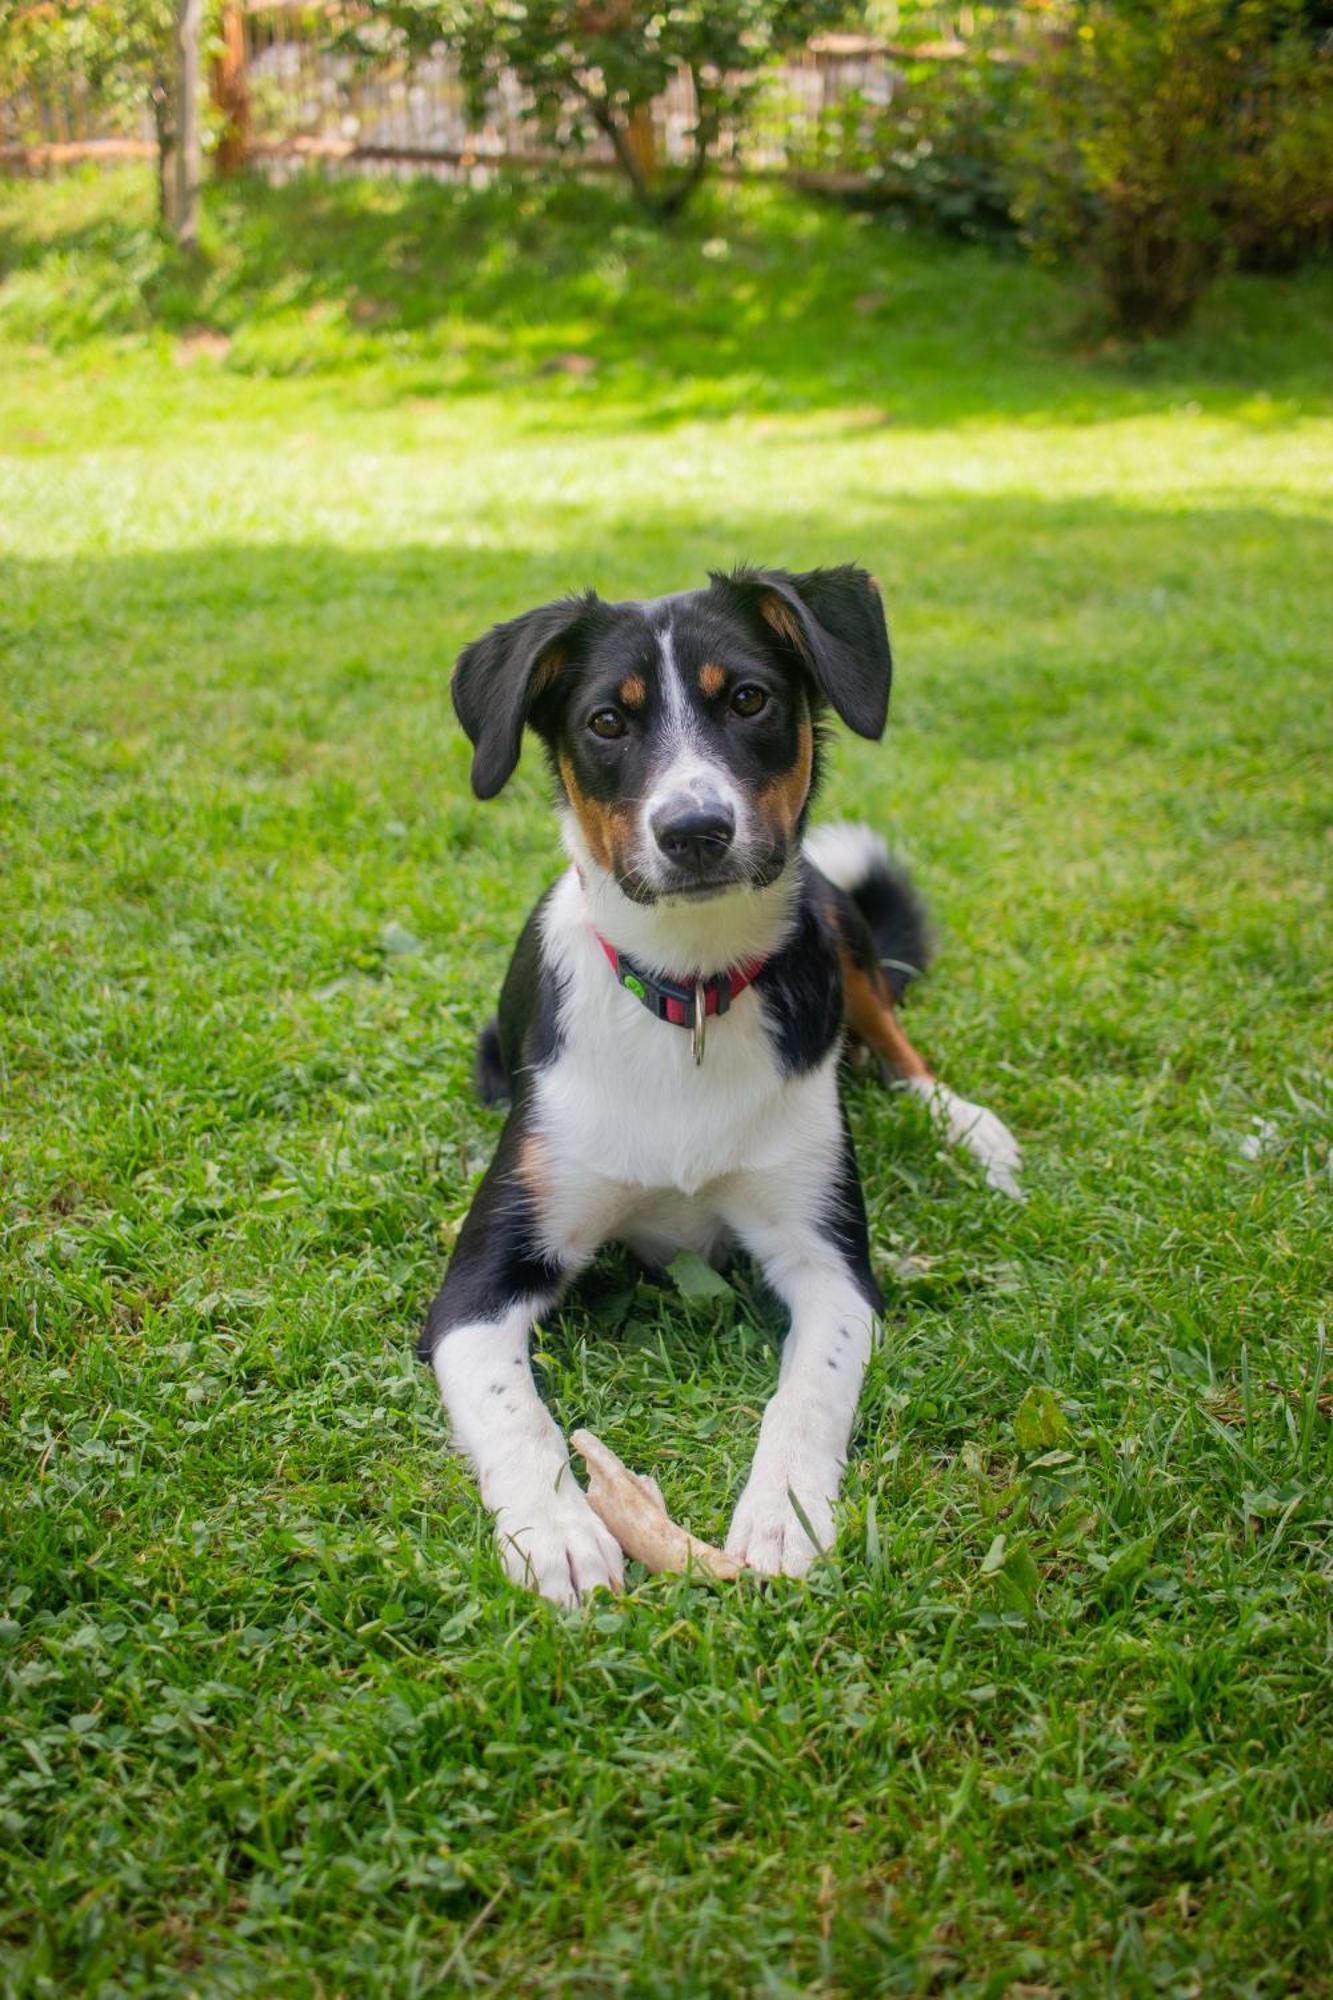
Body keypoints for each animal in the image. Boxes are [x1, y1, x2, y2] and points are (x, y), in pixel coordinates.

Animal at [420, 564, 1020, 1608]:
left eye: (748, 699)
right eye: (605, 723)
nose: (694, 829)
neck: (689, 992)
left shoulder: (829, 1264)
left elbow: (807, 1395)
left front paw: (783, 1515)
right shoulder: (477, 1288)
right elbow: (515, 1415)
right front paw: (560, 1531)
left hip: (829, 911)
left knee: (887, 1030)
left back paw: (965, 1122)